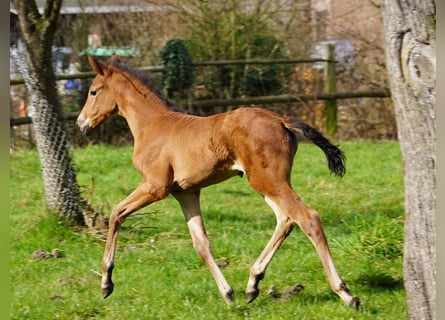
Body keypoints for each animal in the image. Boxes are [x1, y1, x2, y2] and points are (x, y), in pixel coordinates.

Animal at [77, 55, 360, 310]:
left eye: (93, 91)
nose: (81, 123)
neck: (153, 125)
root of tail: (282, 120)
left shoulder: (155, 186)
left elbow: (116, 213)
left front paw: (106, 283)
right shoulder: (187, 193)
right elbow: (201, 243)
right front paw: (228, 294)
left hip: (267, 181)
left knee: (307, 218)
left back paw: (346, 294)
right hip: (268, 182)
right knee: (286, 219)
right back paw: (253, 284)